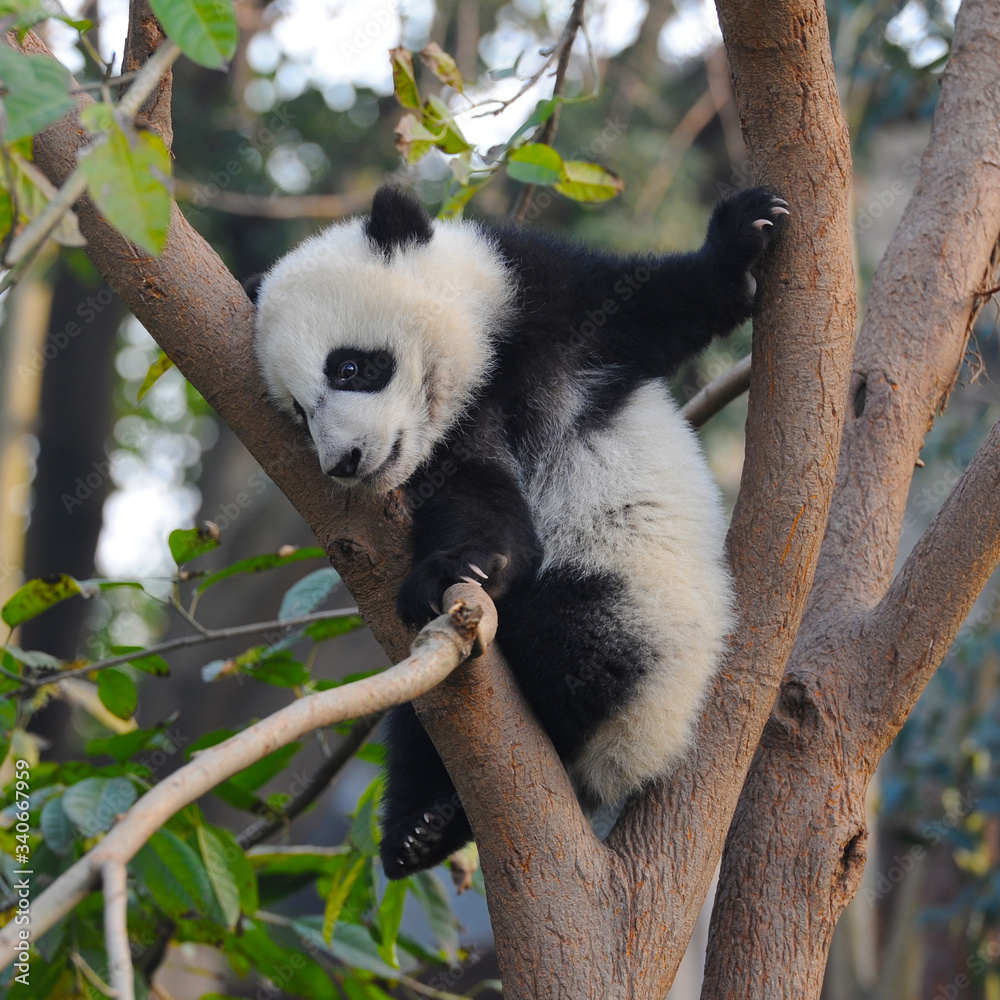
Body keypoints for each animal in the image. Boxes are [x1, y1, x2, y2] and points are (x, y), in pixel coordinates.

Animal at [252, 183, 788, 879]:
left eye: (348, 368)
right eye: (297, 410)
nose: (343, 462)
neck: (475, 385)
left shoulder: (550, 309)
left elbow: (662, 304)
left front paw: (747, 230)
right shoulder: (448, 456)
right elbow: (483, 508)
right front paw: (461, 566)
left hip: (647, 620)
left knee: (586, 638)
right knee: (419, 725)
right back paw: (421, 829)